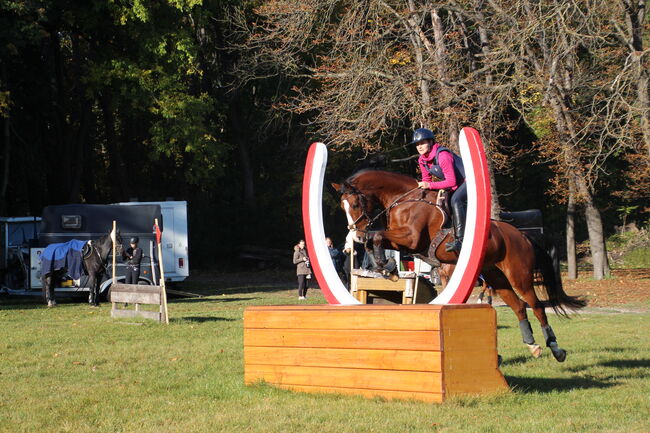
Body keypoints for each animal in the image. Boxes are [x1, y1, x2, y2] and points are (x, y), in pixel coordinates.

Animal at [334, 169, 588, 362]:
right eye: (342, 207)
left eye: (355, 203)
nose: (356, 235)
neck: (404, 200)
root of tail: (522, 235)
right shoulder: (399, 239)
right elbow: (375, 239)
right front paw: (386, 266)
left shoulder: (411, 238)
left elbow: (377, 236)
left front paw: (385, 264)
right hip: (496, 278)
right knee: (518, 307)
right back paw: (532, 345)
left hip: (519, 276)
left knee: (536, 307)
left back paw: (556, 348)